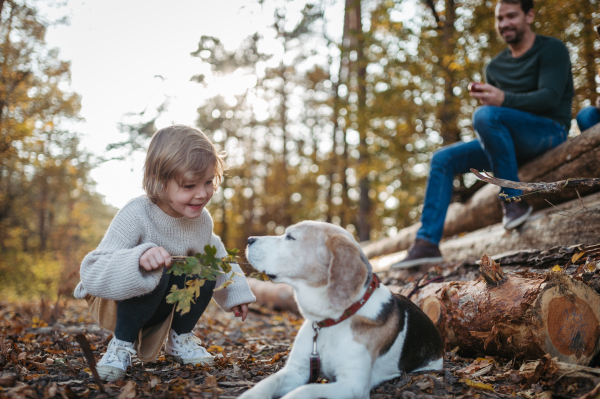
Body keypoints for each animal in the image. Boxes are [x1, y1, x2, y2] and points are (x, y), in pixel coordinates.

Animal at [240, 222, 446, 399]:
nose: (249, 239)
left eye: (290, 237)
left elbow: (307, 390)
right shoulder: (296, 370)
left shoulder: (353, 384)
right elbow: (267, 383)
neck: (331, 321)